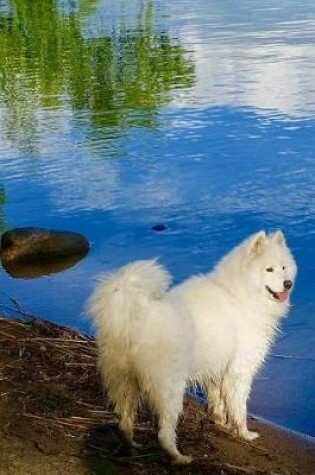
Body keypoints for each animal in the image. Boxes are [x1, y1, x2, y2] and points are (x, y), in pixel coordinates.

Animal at [87, 231, 298, 464]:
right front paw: (244, 433)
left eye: (284, 267)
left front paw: (220, 422)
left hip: (124, 381)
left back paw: (131, 445)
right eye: (268, 269)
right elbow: (239, 407)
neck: (238, 293)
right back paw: (179, 458)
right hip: (170, 388)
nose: (288, 283)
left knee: (124, 422)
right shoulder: (239, 370)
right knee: (164, 434)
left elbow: (218, 401)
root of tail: (137, 315)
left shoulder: (216, 369)